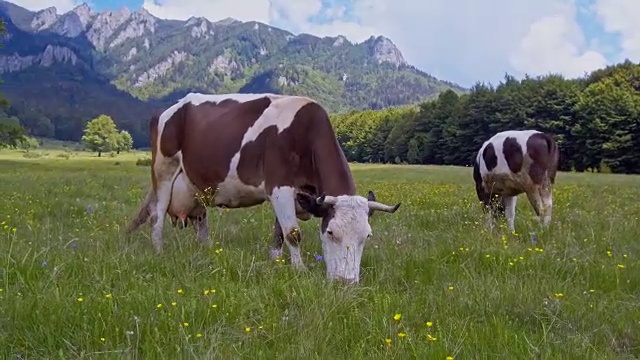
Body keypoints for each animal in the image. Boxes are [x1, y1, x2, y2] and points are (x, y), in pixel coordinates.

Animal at [125, 92, 400, 284]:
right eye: (330, 232)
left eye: (367, 236)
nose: (347, 283)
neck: (305, 131)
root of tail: (169, 107)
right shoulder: (279, 185)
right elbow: (293, 233)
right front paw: (299, 270)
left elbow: (279, 231)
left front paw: (276, 261)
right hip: (164, 169)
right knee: (157, 214)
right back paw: (159, 251)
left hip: (197, 187)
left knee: (200, 221)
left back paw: (208, 251)